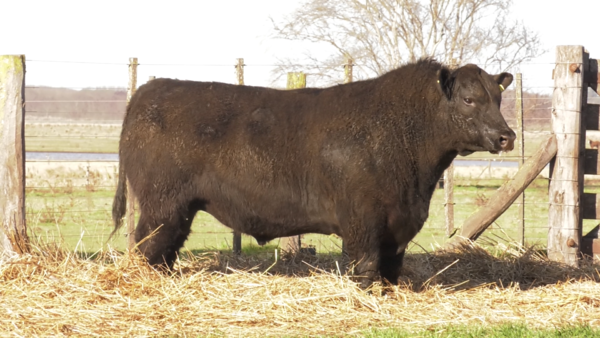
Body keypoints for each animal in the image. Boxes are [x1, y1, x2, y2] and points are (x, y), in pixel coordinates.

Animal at [112, 59, 516, 286]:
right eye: (469, 99)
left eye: (498, 98)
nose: (507, 136)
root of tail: (151, 88)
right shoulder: (362, 221)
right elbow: (366, 267)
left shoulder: (398, 223)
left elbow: (391, 269)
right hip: (162, 204)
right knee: (147, 245)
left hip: (178, 208)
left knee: (164, 249)